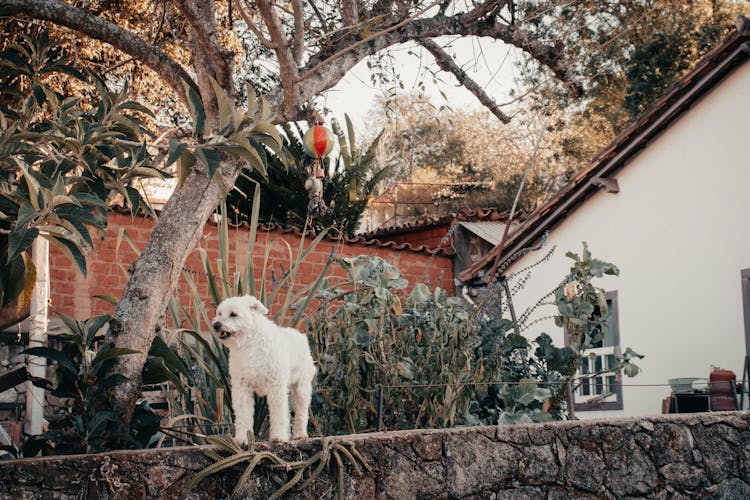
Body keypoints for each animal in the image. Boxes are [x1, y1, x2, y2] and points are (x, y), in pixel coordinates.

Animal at [212, 294, 318, 444]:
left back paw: (300, 434)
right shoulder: (241, 388)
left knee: (301, 412)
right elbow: (243, 414)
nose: (216, 325)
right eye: (219, 313)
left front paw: (278, 437)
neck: (249, 343)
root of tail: (300, 336)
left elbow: (279, 414)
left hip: (301, 387)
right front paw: (241, 438)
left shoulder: (276, 386)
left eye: (233, 314)